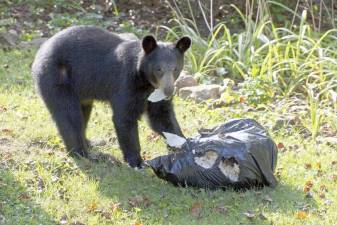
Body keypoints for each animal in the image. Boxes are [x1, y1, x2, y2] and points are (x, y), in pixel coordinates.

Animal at [31, 25, 190, 168]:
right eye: (159, 69)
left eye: (175, 69)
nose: (168, 91)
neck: (145, 82)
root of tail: (40, 51)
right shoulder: (125, 84)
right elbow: (124, 118)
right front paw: (137, 161)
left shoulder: (154, 95)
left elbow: (161, 117)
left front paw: (183, 145)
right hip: (58, 78)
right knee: (69, 115)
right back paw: (83, 153)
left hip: (81, 90)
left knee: (83, 112)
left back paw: (88, 142)